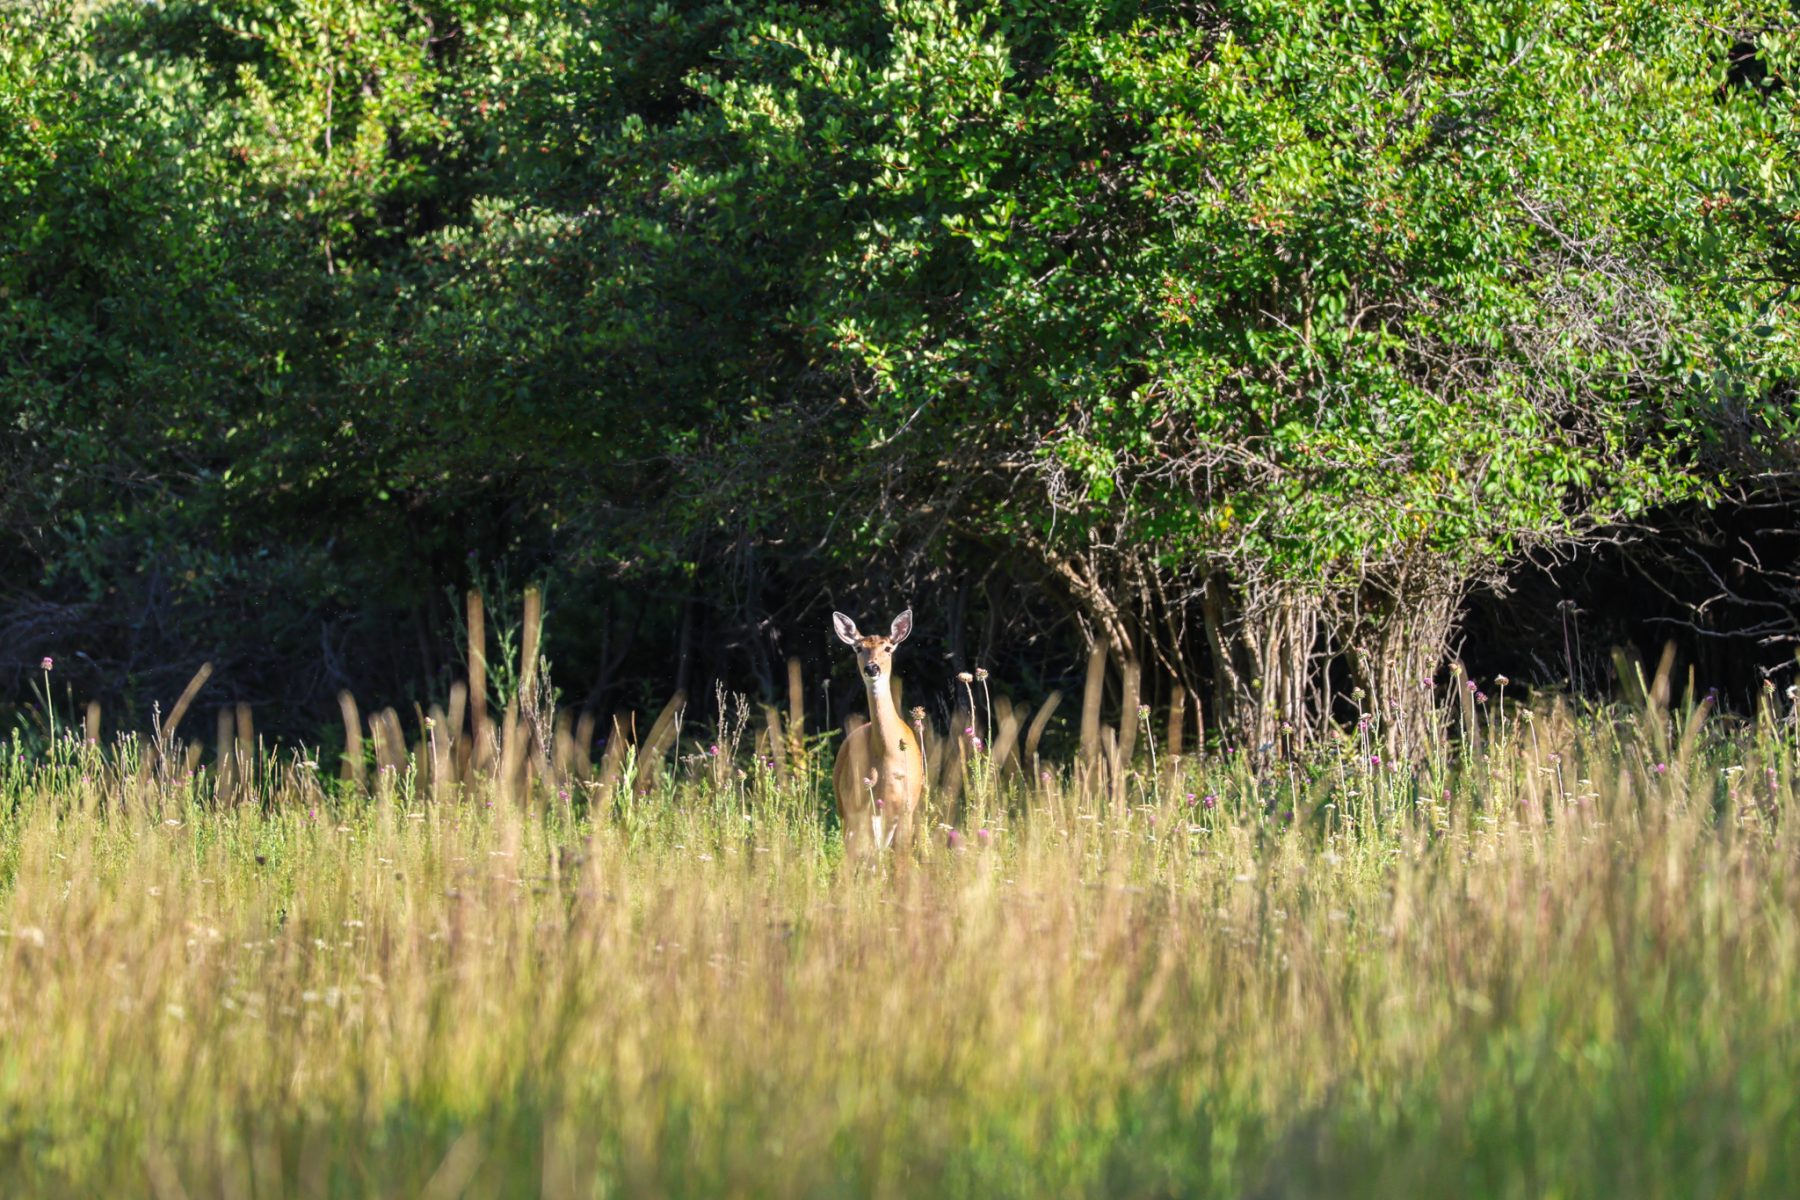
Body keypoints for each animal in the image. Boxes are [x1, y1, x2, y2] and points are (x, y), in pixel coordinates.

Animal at [831, 608, 925, 856]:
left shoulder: (906, 807)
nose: (872, 668)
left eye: (888, 648)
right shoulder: (860, 805)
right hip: (846, 807)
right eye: (858, 648)